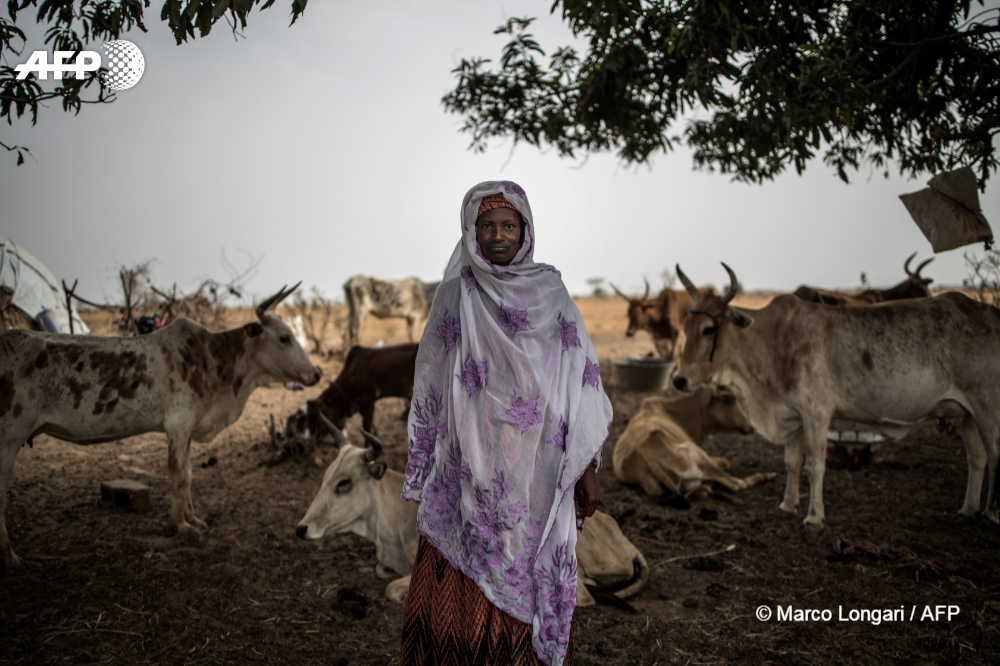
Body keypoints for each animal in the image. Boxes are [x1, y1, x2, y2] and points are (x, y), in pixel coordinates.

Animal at [0, 284, 322, 570]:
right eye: (284, 338)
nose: (316, 372)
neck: (215, 362)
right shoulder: (177, 427)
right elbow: (176, 476)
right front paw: (181, 525)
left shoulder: (188, 430)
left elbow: (189, 475)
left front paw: (194, 518)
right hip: (9, 438)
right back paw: (10, 558)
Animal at [613, 384, 774, 502]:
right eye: (730, 399)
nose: (750, 426)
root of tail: (649, 461)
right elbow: (725, 462)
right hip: (695, 452)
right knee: (734, 484)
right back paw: (766, 475)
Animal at [670, 263, 1000, 532]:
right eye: (685, 327)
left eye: (709, 329)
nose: (678, 379)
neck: (772, 341)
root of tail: (987, 312)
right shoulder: (792, 413)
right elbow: (792, 462)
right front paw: (787, 505)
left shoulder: (816, 413)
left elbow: (815, 465)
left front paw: (814, 517)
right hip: (965, 414)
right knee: (977, 457)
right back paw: (968, 510)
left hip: (987, 406)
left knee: (995, 454)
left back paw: (991, 515)